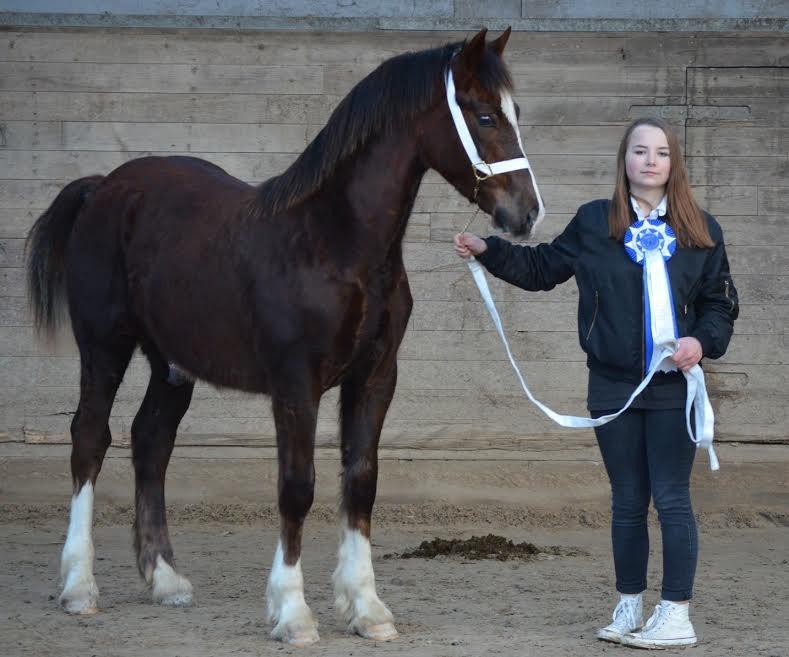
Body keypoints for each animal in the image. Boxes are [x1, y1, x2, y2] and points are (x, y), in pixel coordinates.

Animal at [24, 26, 540, 644]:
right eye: (484, 115)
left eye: (515, 112)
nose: (527, 214)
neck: (334, 242)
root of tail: (104, 188)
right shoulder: (296, 384)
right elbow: (297, 486)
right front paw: (293, 613)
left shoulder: (374, 377)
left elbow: (361, 481)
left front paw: (367, 609)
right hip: (104, 345)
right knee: (89, 439)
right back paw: (79, 587)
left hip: (171, 364)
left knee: (151, 441)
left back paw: (166, 580)